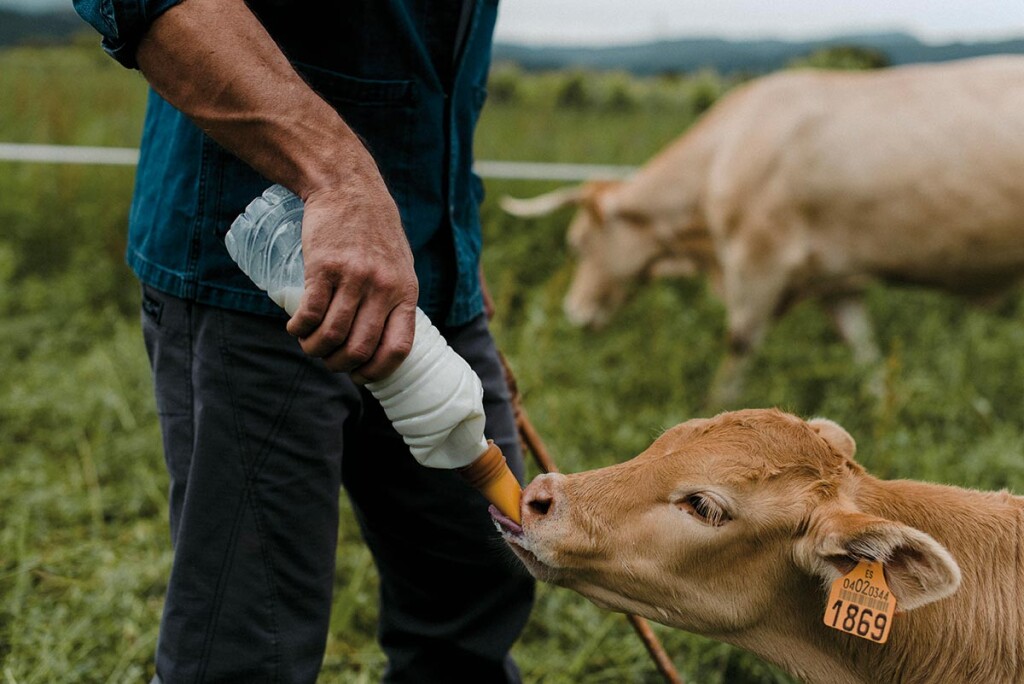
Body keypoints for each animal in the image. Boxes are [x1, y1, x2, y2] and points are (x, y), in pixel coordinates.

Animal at [499, 57, 1024, 405]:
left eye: (577, 244)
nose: (575, 312)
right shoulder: (836, 280)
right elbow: (867, 353)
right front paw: (885, 406)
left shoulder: (758, 260)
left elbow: (738, 346)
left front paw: (713, 414)